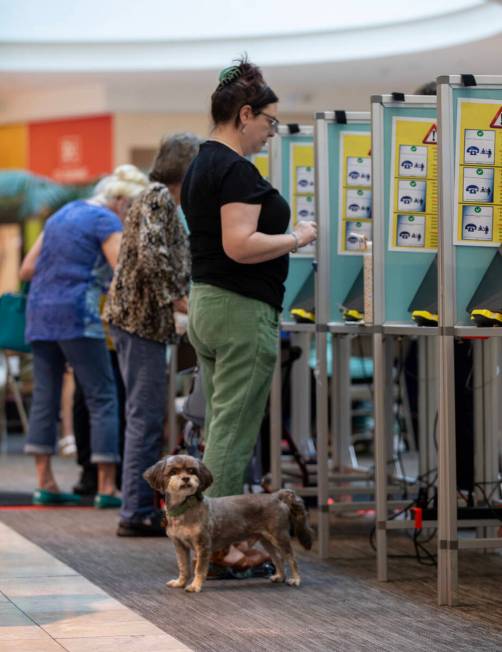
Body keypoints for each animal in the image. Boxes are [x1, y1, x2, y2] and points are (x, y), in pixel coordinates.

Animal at [143, 456, 312, 592]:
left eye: (192, 470)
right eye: (173, 471)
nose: (185, 478)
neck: (185, 508)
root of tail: (277, 496)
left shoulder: (203, 546)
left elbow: (199, 569)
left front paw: (195, 586)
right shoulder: (180, 545)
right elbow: (183, 567)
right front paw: (180, 582)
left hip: (279, 537)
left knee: (291, 558)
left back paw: (295, 579)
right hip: (266, 540)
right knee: (278, 558)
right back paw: (280, 576)